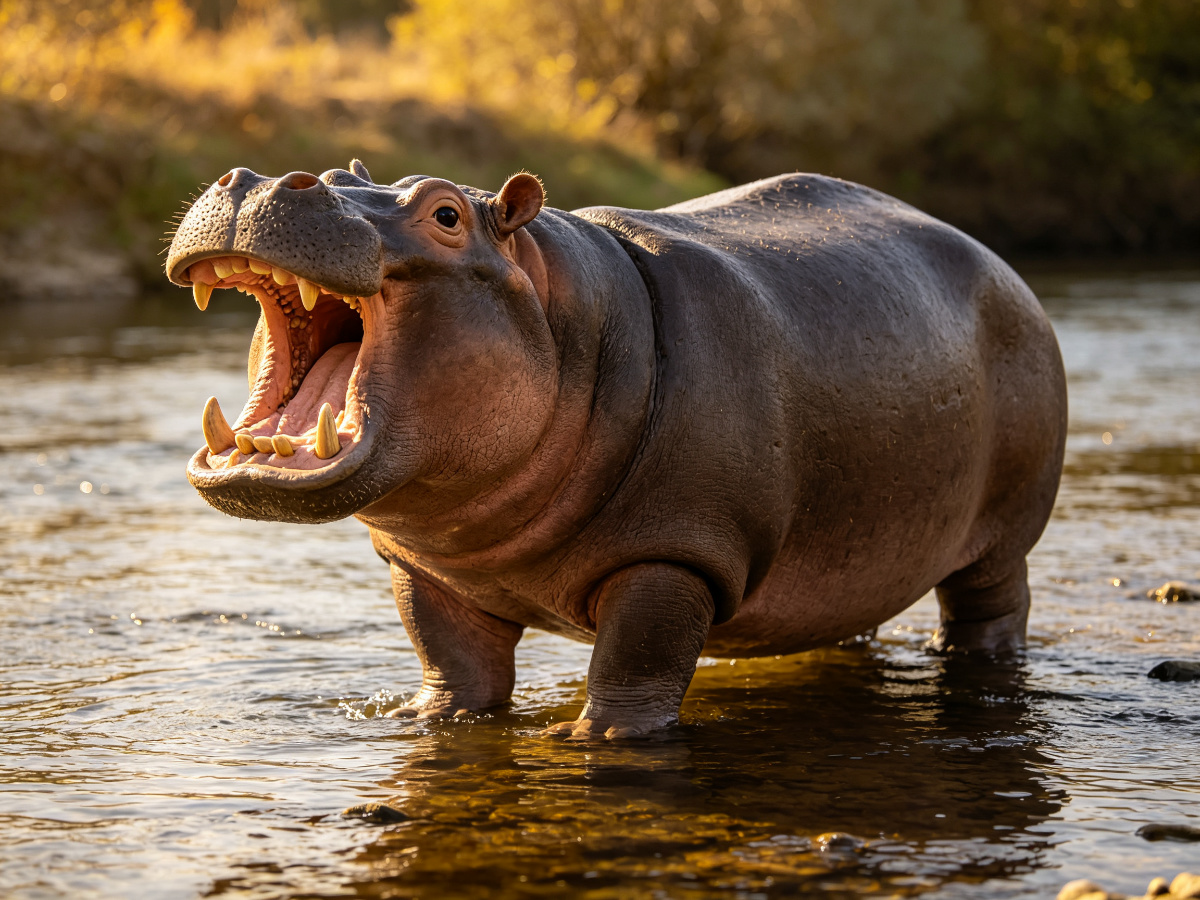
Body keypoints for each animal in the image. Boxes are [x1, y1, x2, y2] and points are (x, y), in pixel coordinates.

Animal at [165, 161, 1067, 739]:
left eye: (446, 214)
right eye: (330, 170)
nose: (257, 182)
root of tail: (998, 261)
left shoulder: (672, 553)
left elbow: (635, 663)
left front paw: (593, 743)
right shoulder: (426, 568)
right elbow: (452, 665)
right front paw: (432, 722)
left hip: (1004, 536)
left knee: (991, 606)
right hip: (856, 544)